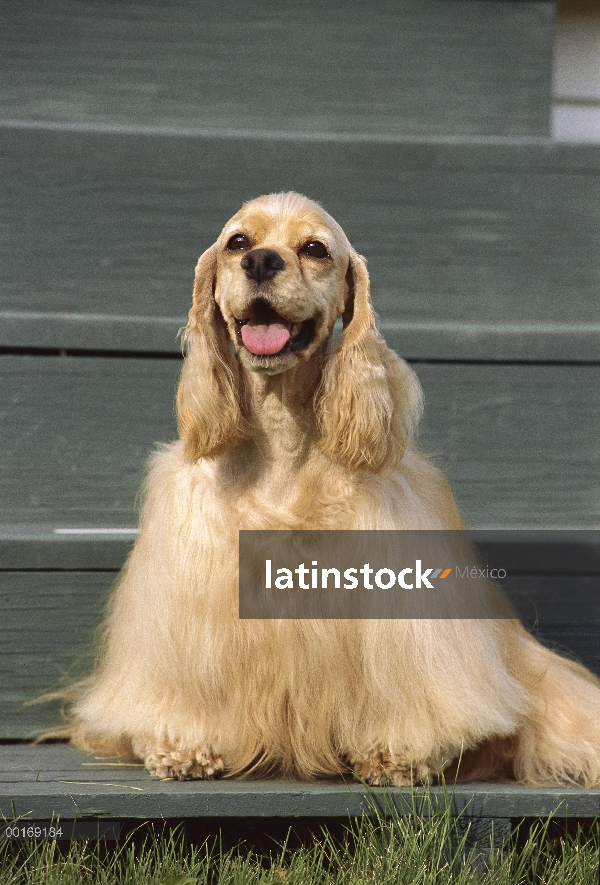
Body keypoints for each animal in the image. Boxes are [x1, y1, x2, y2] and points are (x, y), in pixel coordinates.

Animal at [68, 190, 600, 784]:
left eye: (315, 249)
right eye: (238, 243)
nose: (261, 262)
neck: (282, 439)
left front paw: (397, 755)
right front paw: (181, 745)